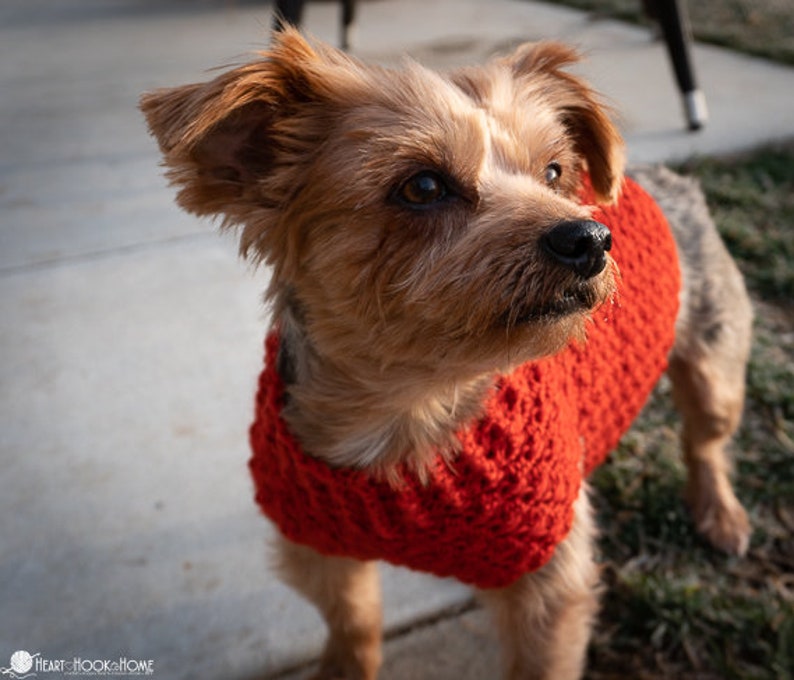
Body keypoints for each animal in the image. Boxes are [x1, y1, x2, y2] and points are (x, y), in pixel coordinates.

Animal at [139, 30, 752, 680]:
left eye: (554, 172)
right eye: (423, 186)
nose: (589, 238)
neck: (411, 404)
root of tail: (662, 177)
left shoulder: (547, 582)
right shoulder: (320, 547)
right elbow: (353, 621)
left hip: (716, 363)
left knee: (705, 441)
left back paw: (720, 513)